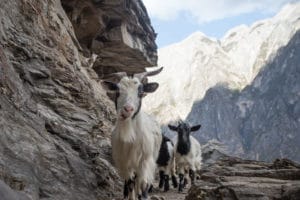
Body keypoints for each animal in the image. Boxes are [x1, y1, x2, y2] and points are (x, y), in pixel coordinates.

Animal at [102, 67, 164, 200]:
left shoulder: (145, 161)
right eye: (118, 91)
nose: (128, 109)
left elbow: (143, 184)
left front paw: (144, 196)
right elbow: (129, 184)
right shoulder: (124, 163)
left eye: (140, 93)